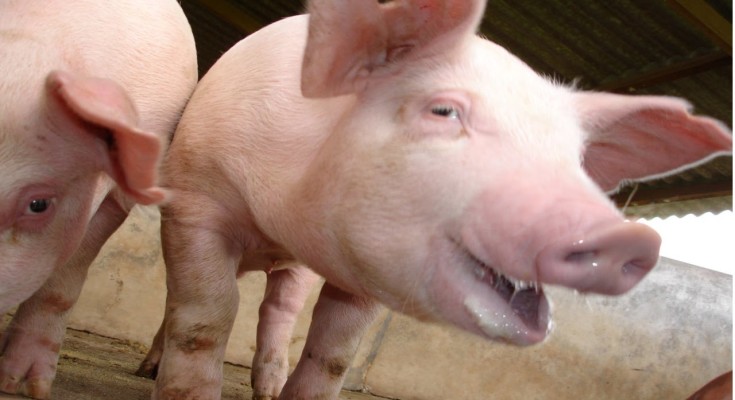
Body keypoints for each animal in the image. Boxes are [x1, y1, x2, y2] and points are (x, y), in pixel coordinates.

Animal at [137, 0, 733, 399]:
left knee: (277, 311)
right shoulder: (195, 202)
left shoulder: (363, 276)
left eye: (576, 156)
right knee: (182, 305)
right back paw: (147, 370)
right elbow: (204, 321)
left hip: (293, 273)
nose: (629, 236)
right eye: (443, 111)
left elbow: (333, 355)